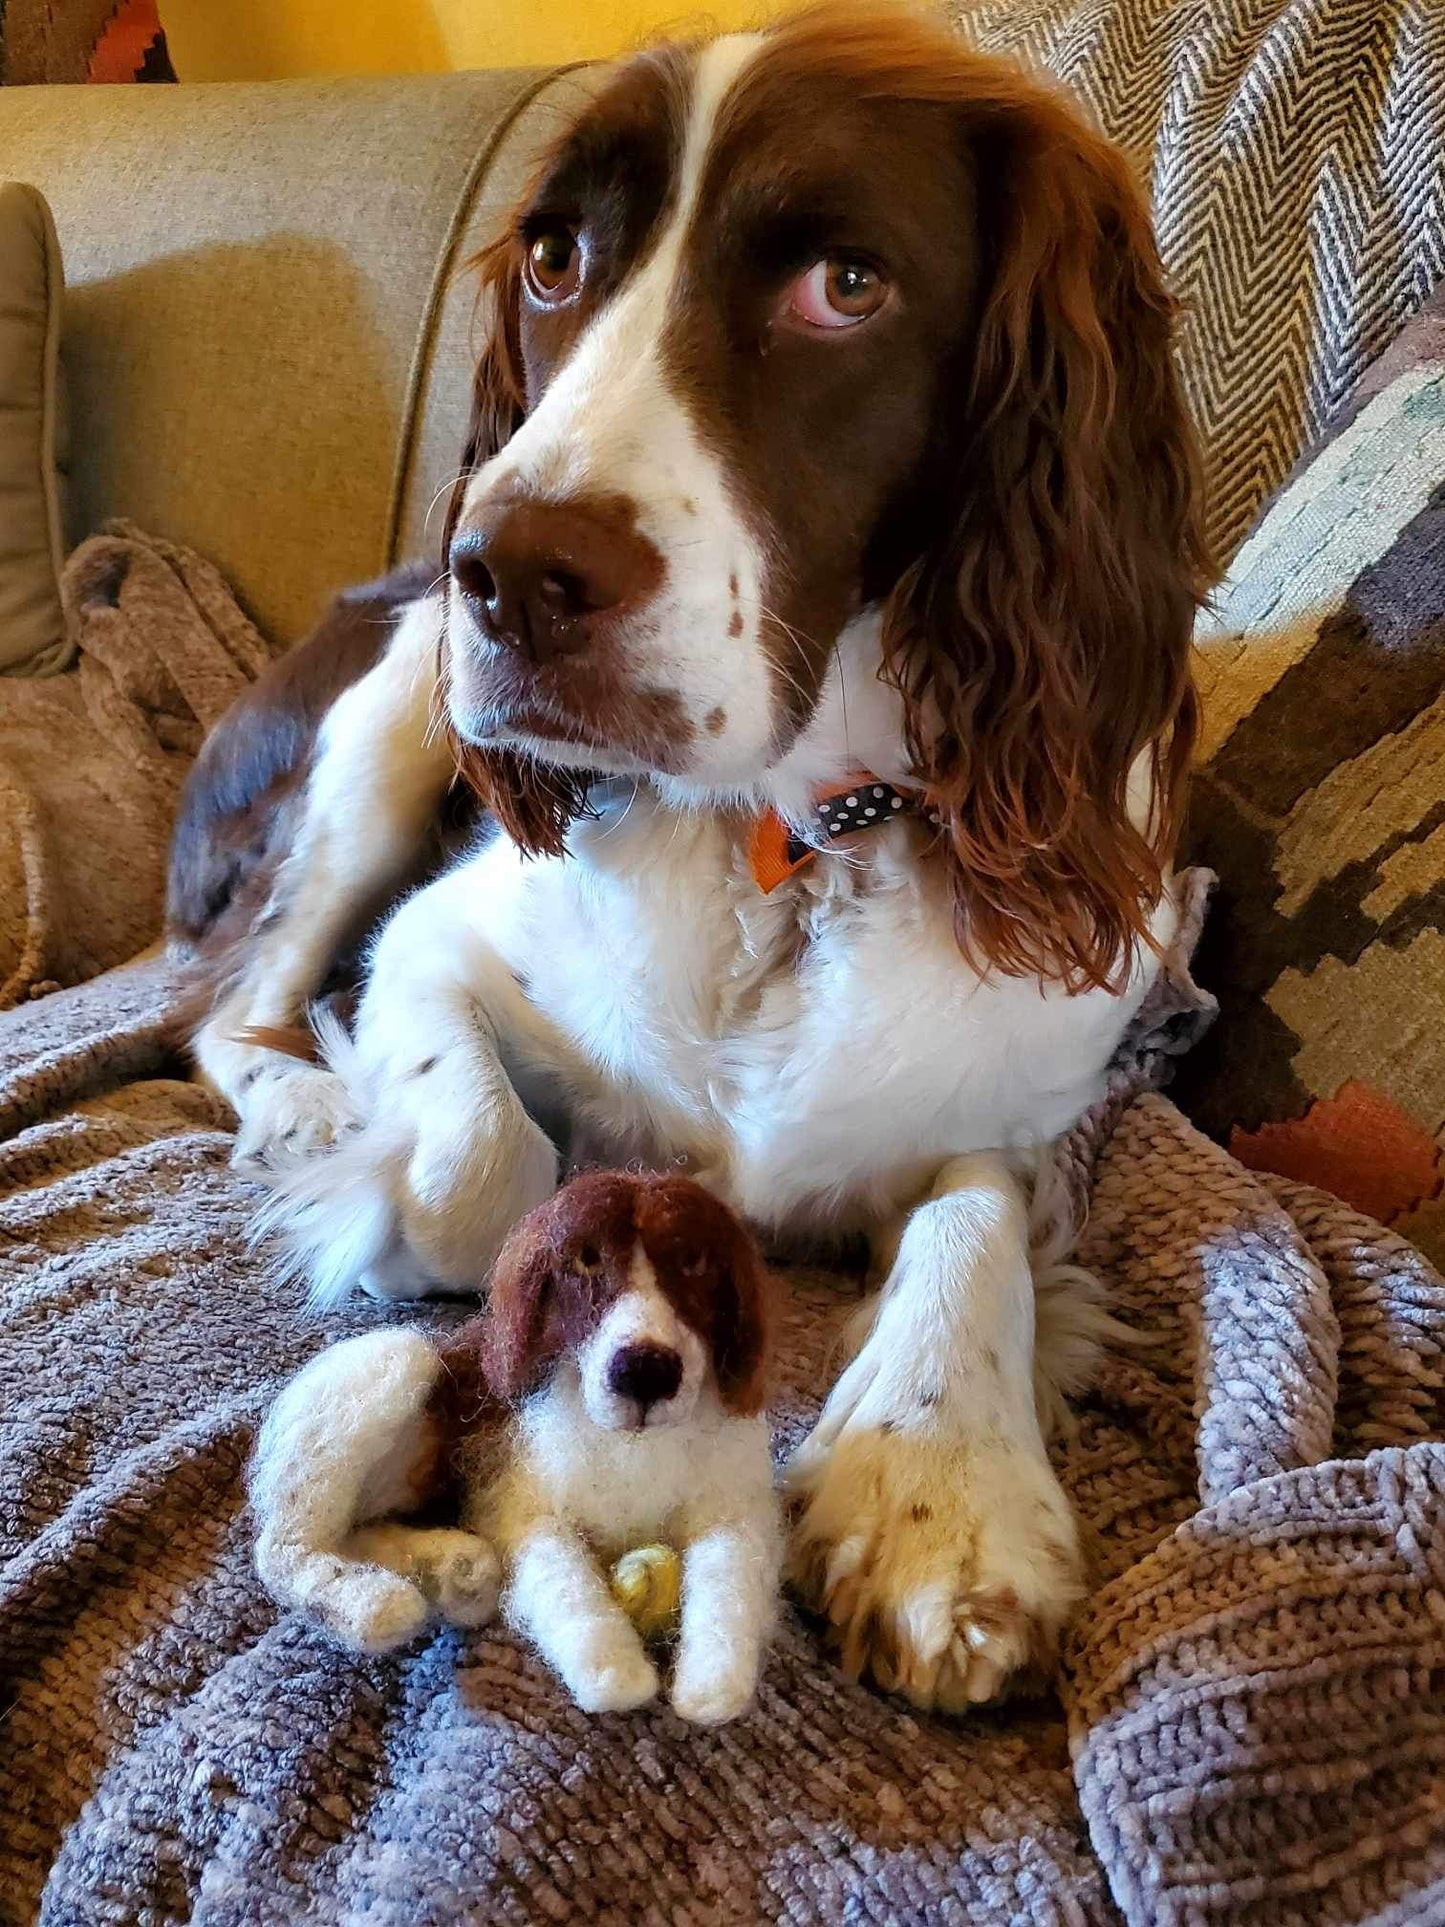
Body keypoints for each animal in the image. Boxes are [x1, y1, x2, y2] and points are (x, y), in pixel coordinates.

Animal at [166, 3, 1209, 1718]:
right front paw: (384, 1184)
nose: (506, 574)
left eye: (845, 284)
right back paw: (302, 1100)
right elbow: (476, 1168)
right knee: (232, 1002)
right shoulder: (439, 935)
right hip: (391, 721)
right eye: (551, 258)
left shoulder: (1020, 1095)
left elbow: (973, 1222)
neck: (794, 851)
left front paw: (939, 1492)